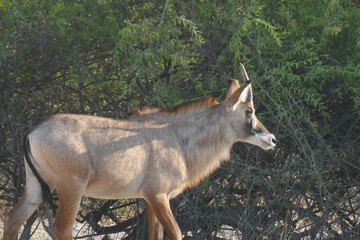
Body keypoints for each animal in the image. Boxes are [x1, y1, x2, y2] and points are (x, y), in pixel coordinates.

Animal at [3, 64, 276, 240]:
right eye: (249, 111)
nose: (272, 139)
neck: (178, 137)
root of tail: (33, 132)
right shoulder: (158, 195)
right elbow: (176, 234)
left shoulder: (152, 199)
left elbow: (156, 236)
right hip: (71, 187)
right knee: (61, 229)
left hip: (37, 186)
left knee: (12, 219)